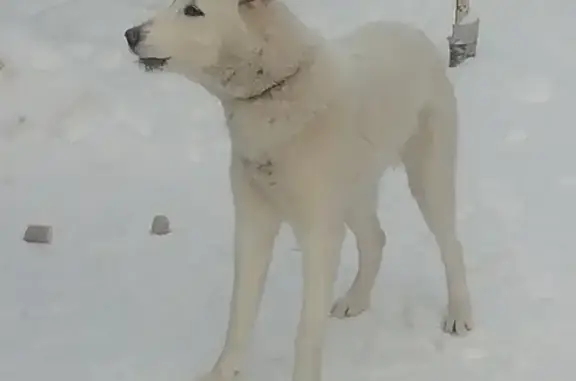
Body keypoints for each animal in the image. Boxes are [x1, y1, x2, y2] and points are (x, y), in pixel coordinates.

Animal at [125, 1, 472, 378]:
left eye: (192, 11)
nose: (130, 34)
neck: (275, 89)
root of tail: (413, 33)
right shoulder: (252, 224)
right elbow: (239, 314)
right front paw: (223, 372)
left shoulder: (319, 235)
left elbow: (307, 329)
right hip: (353, 195)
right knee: (375, 239)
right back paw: (356, 300)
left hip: (428, 181)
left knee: (452, 247)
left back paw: (459, 314)